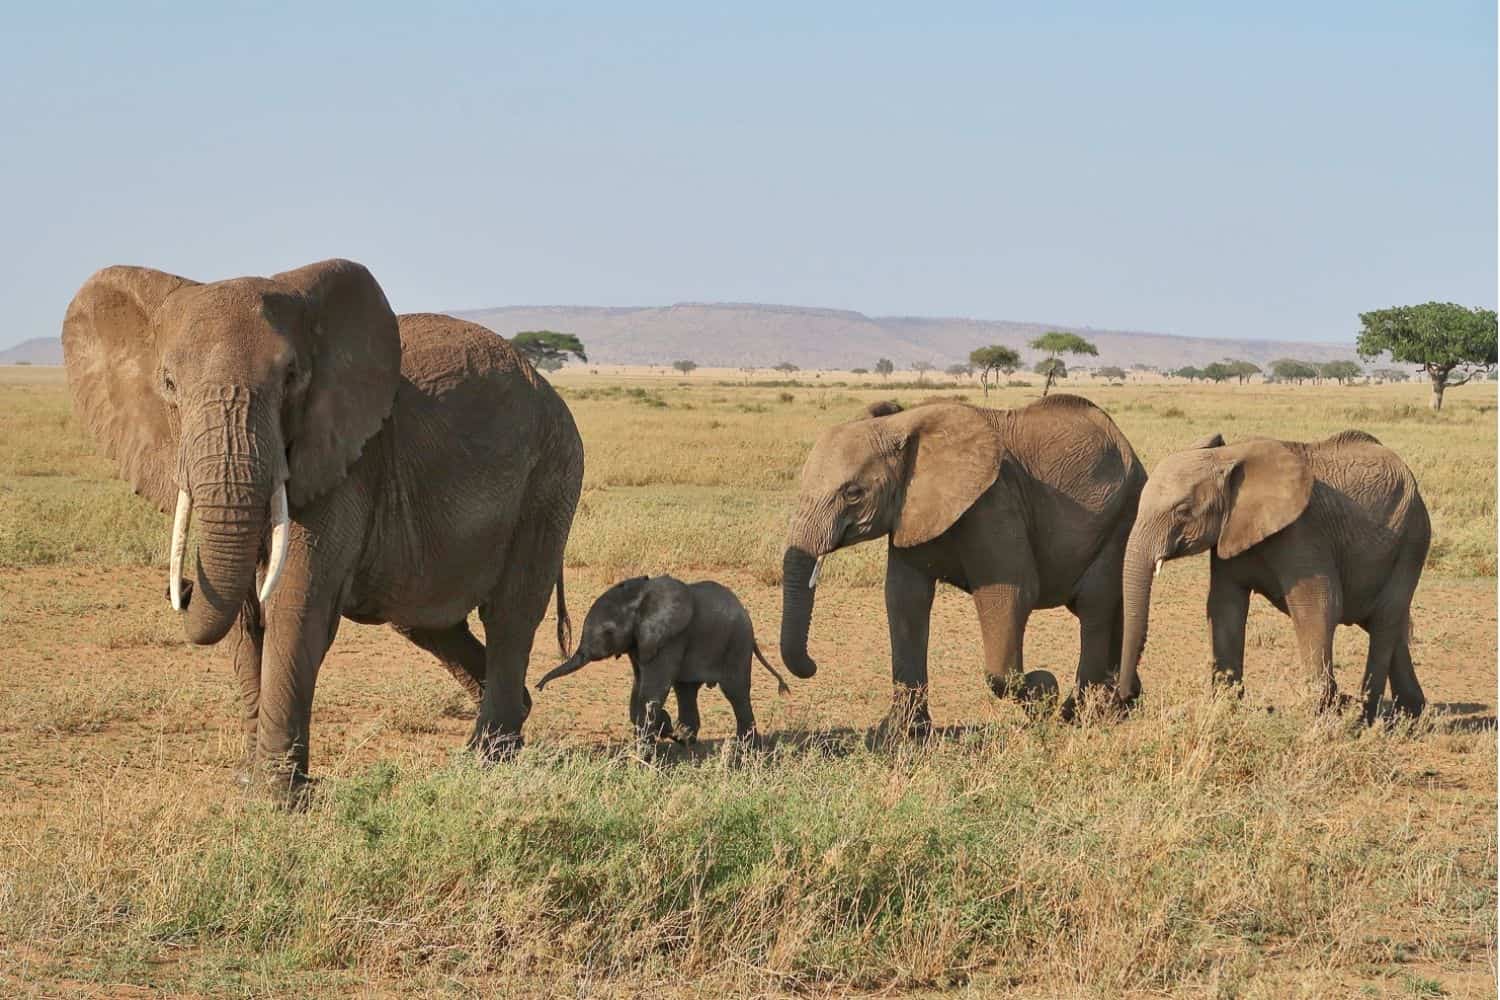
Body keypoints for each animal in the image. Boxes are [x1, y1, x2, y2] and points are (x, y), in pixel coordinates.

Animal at [64, 260, 582, 797]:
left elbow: (294, 602)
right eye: (168, 383)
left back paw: (486, 762)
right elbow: (244, 616)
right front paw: (249, 782)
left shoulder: (343, 461)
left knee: (510, 613)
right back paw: (506, 731)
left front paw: (277, 797)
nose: (184, 587)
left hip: (551, 477)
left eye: (291, 378)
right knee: (427, 621)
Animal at [543, 578, 798, 743]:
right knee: (686, 690)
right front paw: (662, 729)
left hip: (737, 644)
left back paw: (745, 745)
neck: (640, 597)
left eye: (608, 632)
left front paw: (652, 737)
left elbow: (653, 687)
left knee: (736, 692)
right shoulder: (639, 641)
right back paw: (685, 738)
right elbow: (639, 685)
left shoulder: (670, 638)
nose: (539, 686)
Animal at [780, 395, 1140, 731]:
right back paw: (1120, 706)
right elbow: (904, 598)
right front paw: (901, 734)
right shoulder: (911, 511)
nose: (812, 665)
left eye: (853, 493)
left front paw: (1044, 692)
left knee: (1094, 607)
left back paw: (1076, 716)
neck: (903, 423)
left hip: (1123, 516)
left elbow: (1011, 594)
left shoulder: (995, 501)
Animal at [1116, 434, 1428, 722]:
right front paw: (1225, 709)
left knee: (1384, 622)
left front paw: (1318, 716)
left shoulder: (1302, 531)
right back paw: (1412, 714)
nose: (1127, 696)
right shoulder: (1230, 533)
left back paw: (1364, 717)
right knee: (1388, 625)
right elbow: (1224, 605)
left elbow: (1318, 605)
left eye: (1182, 511)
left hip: (1411, 541)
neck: (1228, 456)